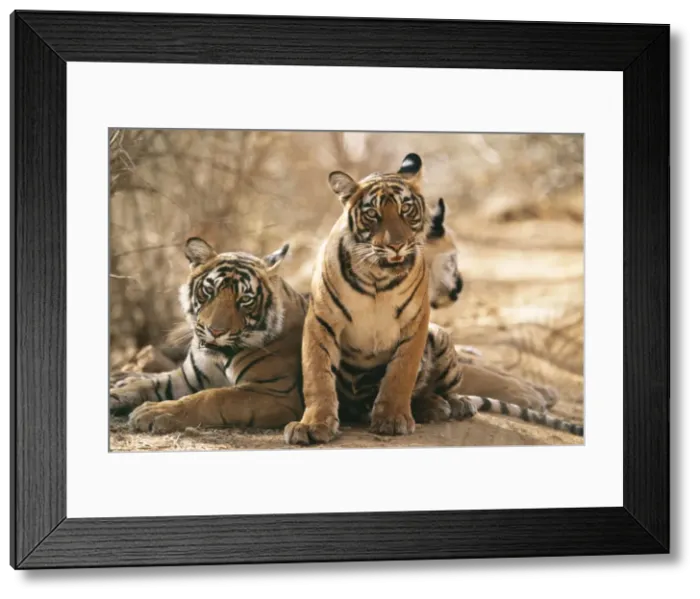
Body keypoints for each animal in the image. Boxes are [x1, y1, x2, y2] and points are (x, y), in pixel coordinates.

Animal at [282, 152, 575, 447]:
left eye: (406, 210)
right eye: (373, 214)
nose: (396, 245)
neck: (377, 277)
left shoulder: (417, 323)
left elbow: (402, 373)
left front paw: (392, 418)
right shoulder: (322, 320)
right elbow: (317, 375)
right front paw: (314, 424)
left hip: (441, 338)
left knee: (443, 387)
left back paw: (446, 405)